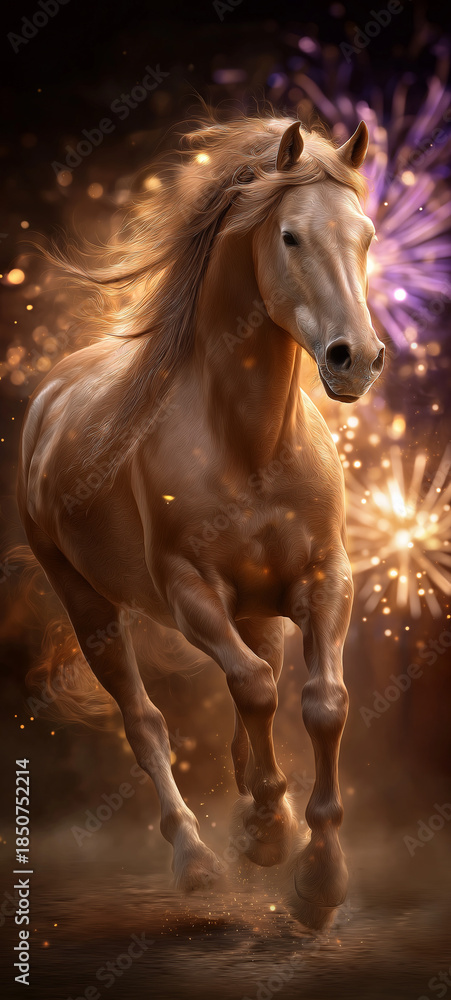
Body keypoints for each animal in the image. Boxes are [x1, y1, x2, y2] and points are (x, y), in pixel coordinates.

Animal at [17, 113, 385, 930]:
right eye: (290, 236)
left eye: (367, 234)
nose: (356, 358)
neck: (248, 443)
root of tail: (50, 396)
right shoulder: (190, 594)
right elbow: (253, 687)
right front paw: (269, 834)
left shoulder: (326, 579)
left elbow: (323, 703)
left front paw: (319, 878)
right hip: (87, 603)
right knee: (146, 720)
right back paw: (197, 863)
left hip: (257, 606)